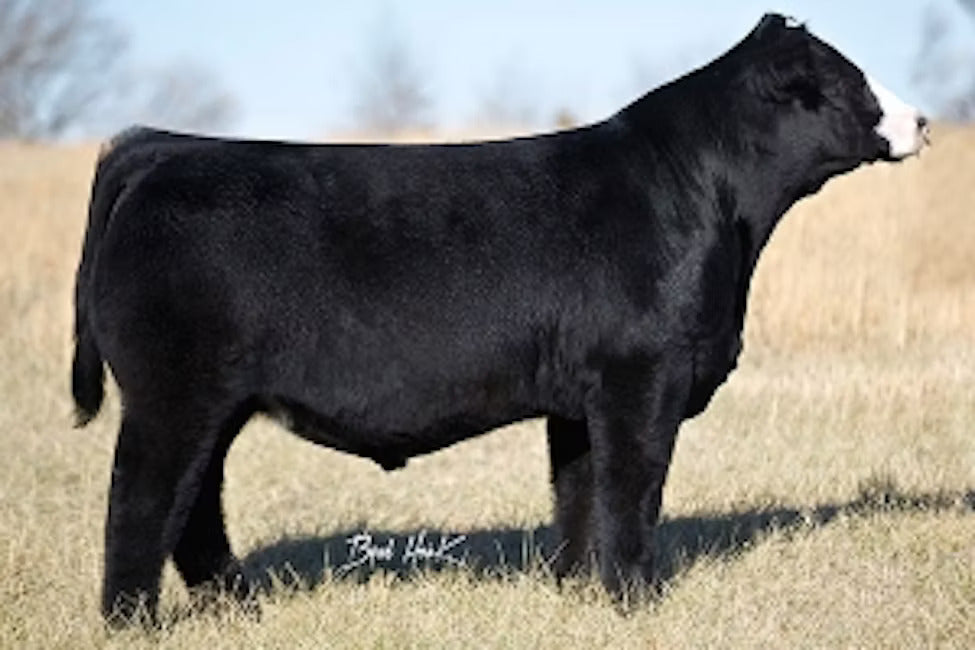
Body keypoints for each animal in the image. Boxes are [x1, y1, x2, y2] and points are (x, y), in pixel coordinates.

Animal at [72, 14, 928, 625]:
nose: (920, 120)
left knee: (195, 506)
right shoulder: (641, 376)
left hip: (210, 403)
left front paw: (578, 594)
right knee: (140, 501)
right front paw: (636, 601)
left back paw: (237, 608)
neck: (705, 200)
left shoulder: (580, 398)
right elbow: (632, 490)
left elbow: (579, 494)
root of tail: (161, 147)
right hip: (172, 396)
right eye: (850, 80)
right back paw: (133, 622)